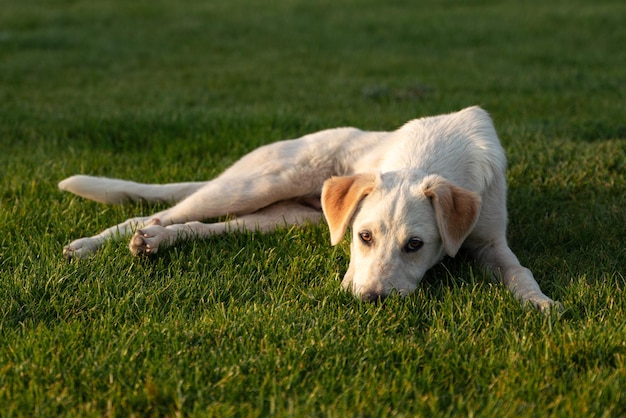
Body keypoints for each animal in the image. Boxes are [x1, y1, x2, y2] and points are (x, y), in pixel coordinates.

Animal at [58, 107, 556, 310]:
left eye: (415, 245)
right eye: (363, 236)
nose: (370, 301)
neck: (434, 153)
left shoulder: (490, 239)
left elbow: (519, 270)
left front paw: (539, 302)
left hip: (283, 217)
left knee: (202, 225)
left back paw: (156, 242)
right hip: (257, 184)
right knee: (152, 213)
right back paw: (91, 244)